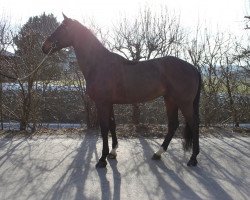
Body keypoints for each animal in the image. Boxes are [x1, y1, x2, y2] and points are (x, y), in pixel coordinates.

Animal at [42, 13, 201, 168]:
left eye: (62, 28)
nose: (44, 46)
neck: (99, 63)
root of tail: (192, 67)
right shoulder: (109, 103)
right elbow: (112, 125)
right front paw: (112, 153)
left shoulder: (102, 103)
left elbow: (104, 128)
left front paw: (102, 159)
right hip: (170, 100)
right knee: (173, 124)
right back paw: (158, 153)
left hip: (184, 103)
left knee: (194, 124)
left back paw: (193, 159)